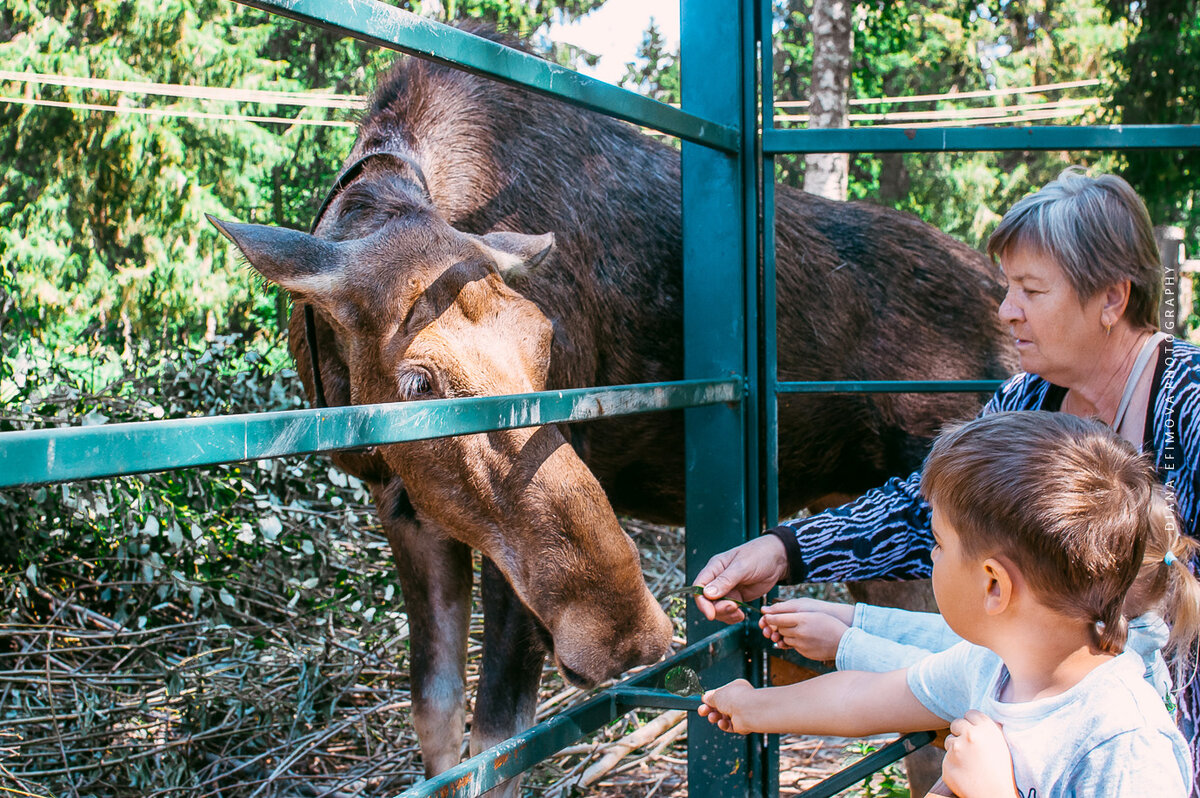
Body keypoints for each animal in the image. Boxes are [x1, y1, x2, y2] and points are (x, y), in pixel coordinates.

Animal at [206, 23, 1012, 792]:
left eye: (545, 344)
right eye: (417, 383)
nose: (627, 632)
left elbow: (499, 746)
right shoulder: (403, 510)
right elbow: (437, 724)